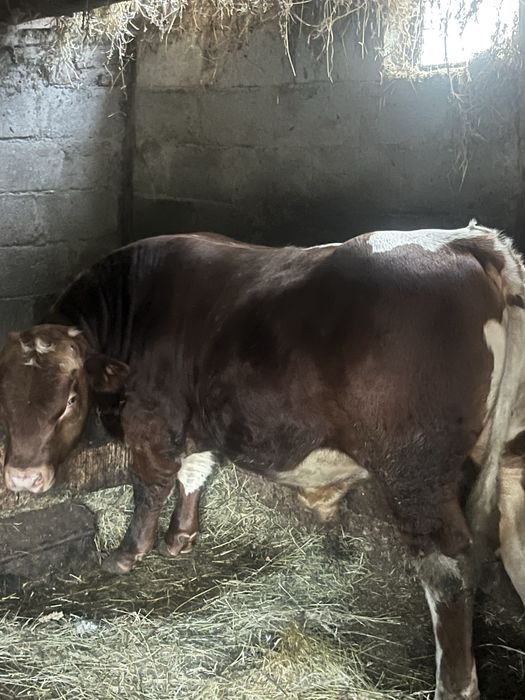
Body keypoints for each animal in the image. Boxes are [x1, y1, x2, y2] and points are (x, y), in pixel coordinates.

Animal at [1, 221, 525, 700]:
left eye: (71, 398)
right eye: (4, 396)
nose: (22, 478)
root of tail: (464, 239)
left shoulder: (151, 418)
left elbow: (150, 484)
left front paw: (128, 554)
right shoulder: (201, 419)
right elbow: (195, 471)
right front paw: (181, 538)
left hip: (416, 475)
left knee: (447, 572)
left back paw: (454, 685)